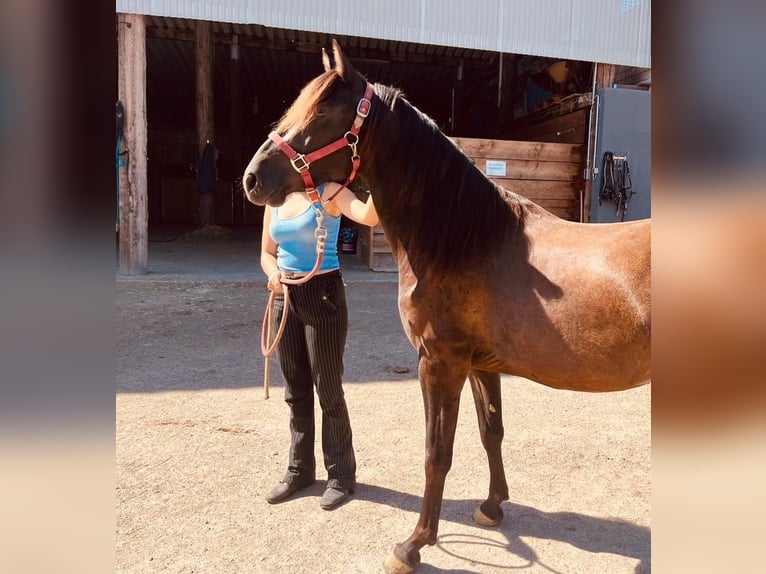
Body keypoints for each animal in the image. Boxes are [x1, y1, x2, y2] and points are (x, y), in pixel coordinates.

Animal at [243, 40, 651, 574]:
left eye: (323, 113)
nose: (252, 178)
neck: (466, 237)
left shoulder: (439, 363)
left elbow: (437, 452)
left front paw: (414, 544)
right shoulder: (481, 365)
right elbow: (491, 431)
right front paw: (492, 508)